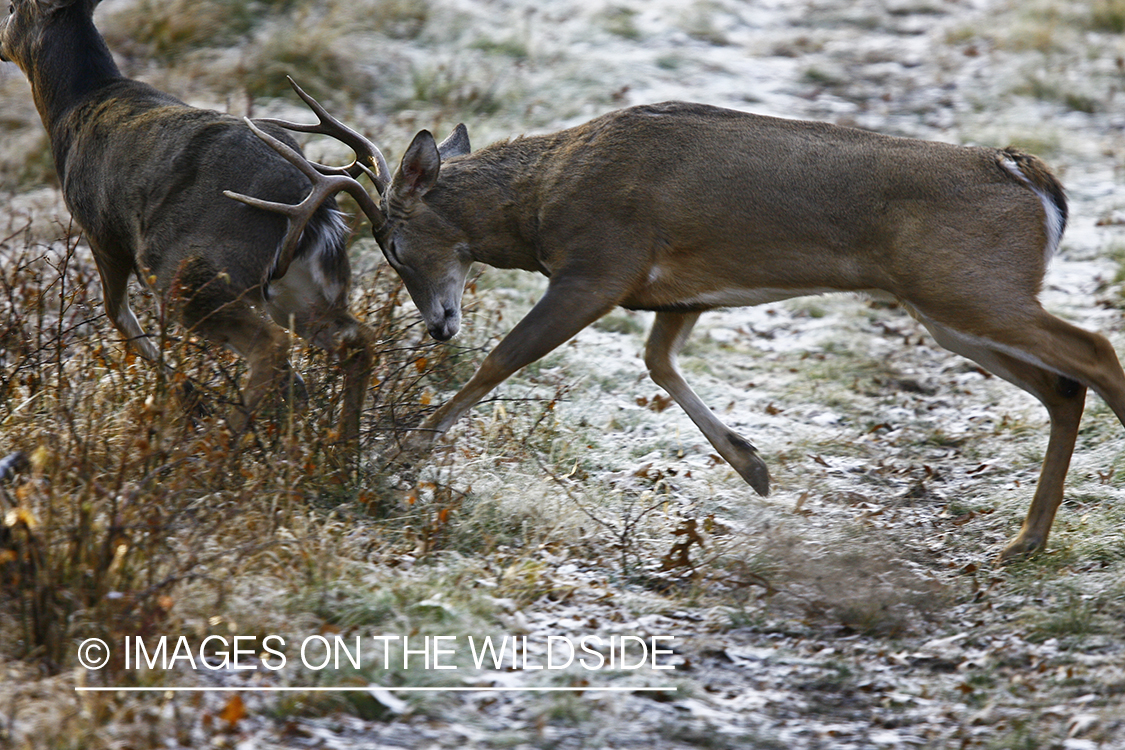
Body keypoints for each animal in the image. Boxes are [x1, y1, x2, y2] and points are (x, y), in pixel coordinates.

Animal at [0, 0, 375, 440]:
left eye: (12, 8)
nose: (0, 44)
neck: (74, 106)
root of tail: (306, 197)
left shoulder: (101, 229)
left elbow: (116, 313)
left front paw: (190, 396)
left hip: (187, 271)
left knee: (271, 345)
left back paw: (221, 443)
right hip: (296, 288)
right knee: (356, 339)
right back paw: (342, 447)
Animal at [226, 83, 1125, 562]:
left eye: (391, 239)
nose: (440, 326)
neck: (540, 203)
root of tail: (1036, 181)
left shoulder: (601, 263)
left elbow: (503, 362)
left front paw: (397, 451)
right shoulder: (673, 295)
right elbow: (658, 364)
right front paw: (754, 466)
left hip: (968, 286)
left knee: (1093, 350)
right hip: (948, 309)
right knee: (1060, 387)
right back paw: (1023, 541)